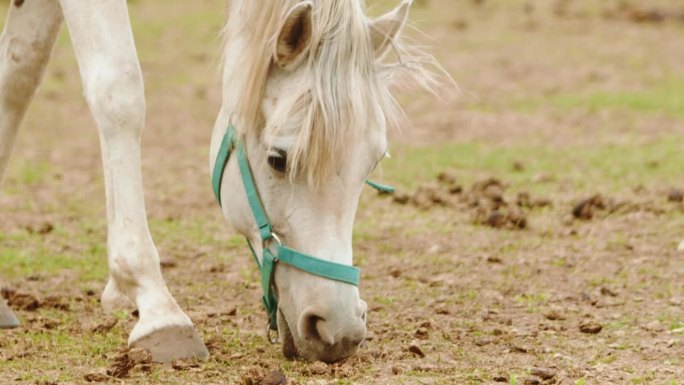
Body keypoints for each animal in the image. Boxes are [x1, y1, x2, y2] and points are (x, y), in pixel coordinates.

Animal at [0, 0, 428, 362]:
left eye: (371, 164)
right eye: (278, 159)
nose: (339, 330)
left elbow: (18, 74)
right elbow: (119, 91)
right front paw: (156, 306)